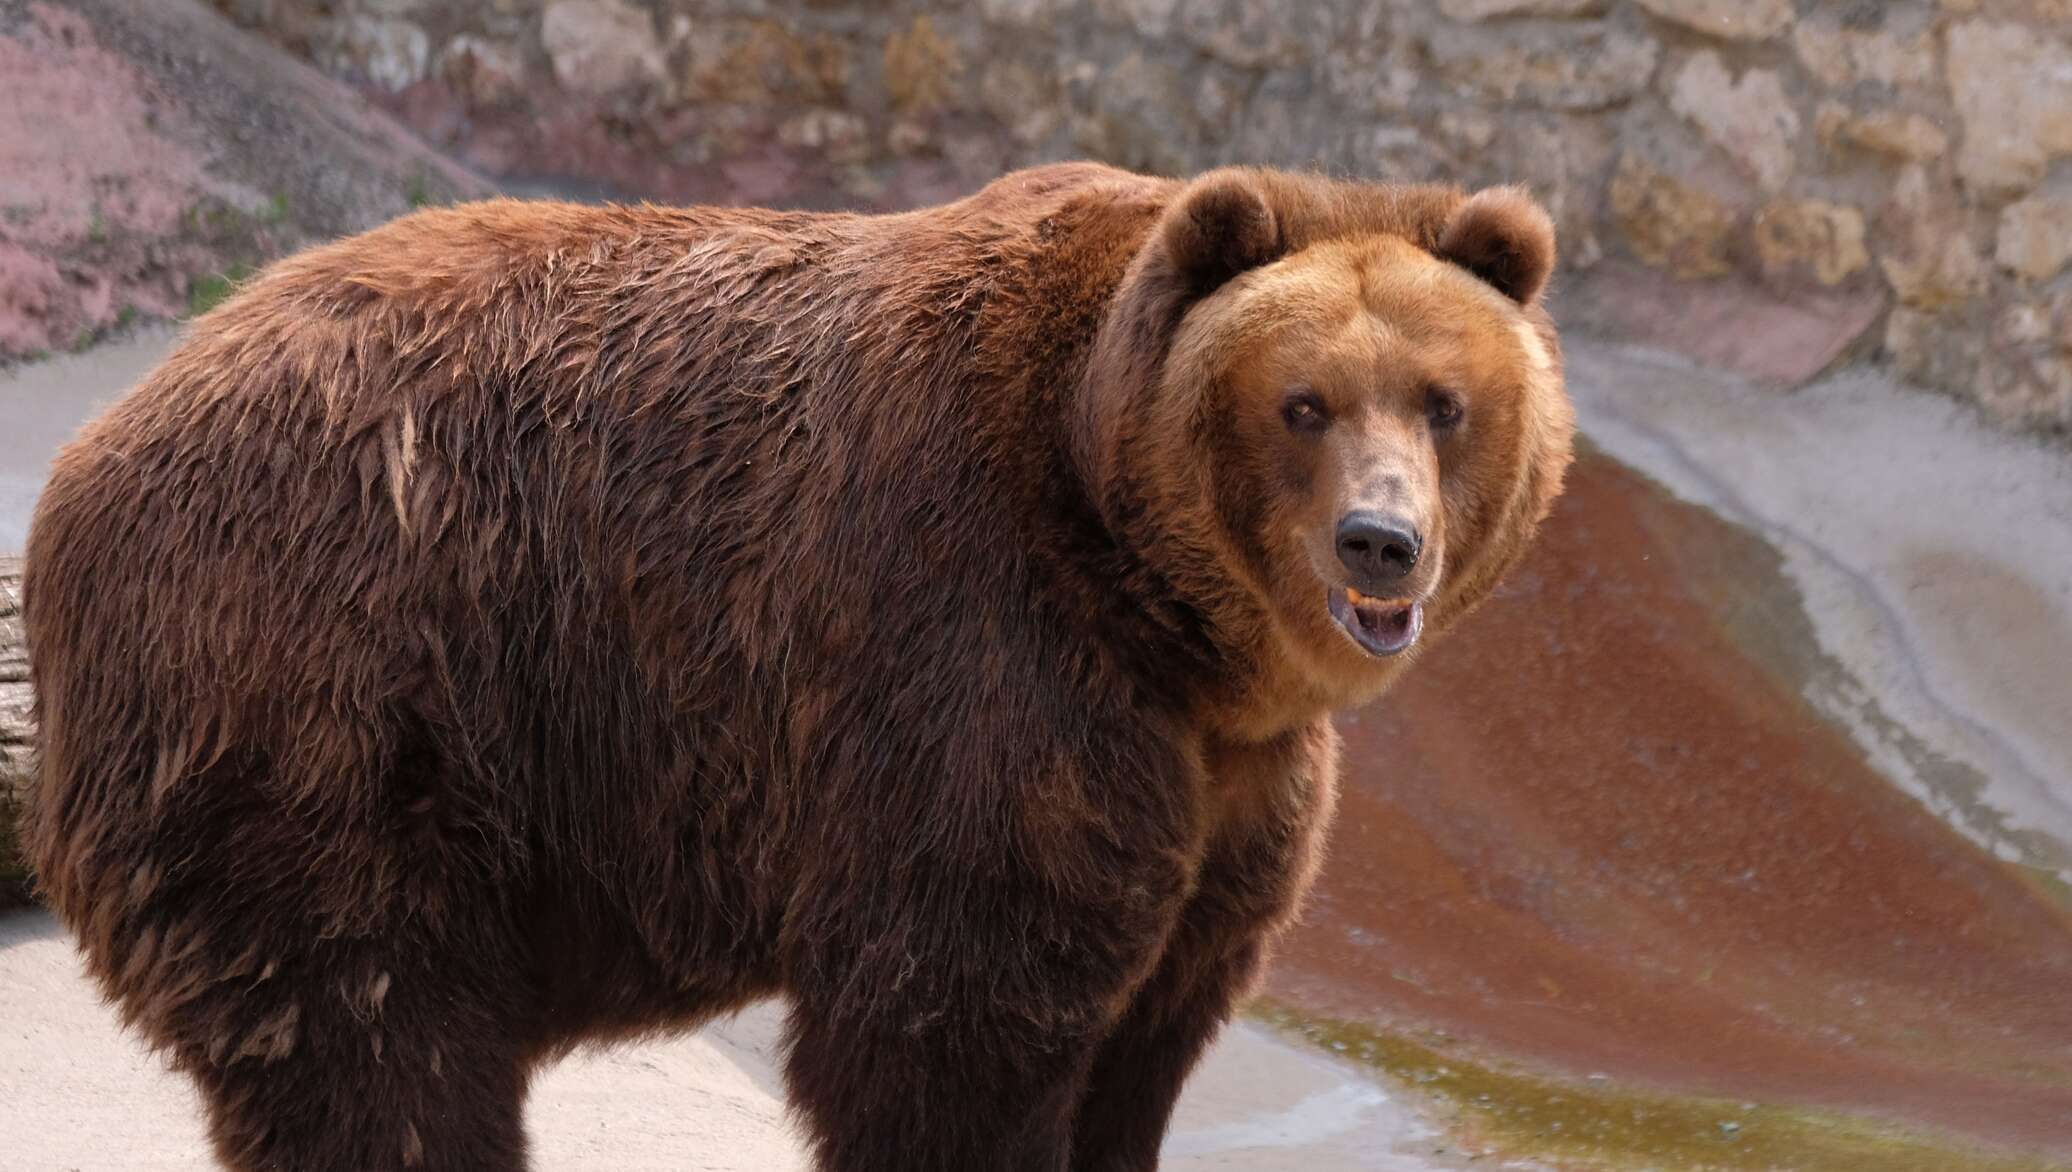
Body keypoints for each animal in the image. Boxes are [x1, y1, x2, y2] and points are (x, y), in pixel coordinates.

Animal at [20, 165, 1566, 1172]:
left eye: (1444, 402)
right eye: (1302, 402)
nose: (1381, 542)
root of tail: (94, 454)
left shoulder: (1229, 779)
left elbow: (1153, 1025)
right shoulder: (974, 649)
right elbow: (954, 1015)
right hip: (336, 687)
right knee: (373, 1033)